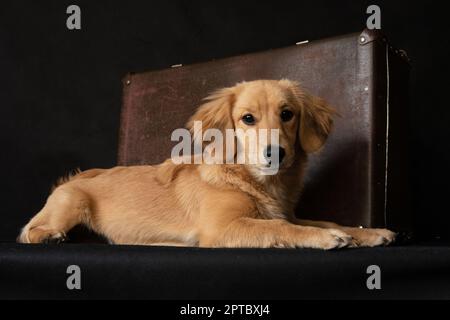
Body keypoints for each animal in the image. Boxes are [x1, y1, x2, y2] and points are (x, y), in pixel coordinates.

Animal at [19, 79, 396, 249]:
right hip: (71, 202)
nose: (276, 153)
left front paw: (370, 232)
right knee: (29, 232)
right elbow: (279, 228)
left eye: (287, 114)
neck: (252, 180)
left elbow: (320, 219)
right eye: (247, 119)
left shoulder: (286, 213)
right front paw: (324, 238)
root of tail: (74, 179)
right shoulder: (223, 227)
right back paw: (51, 237)